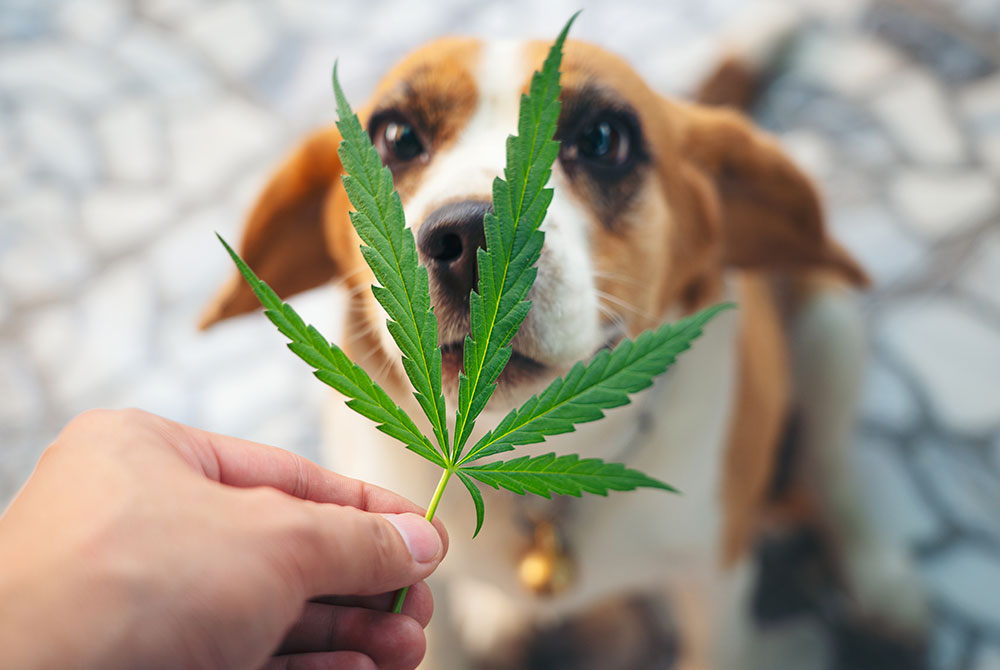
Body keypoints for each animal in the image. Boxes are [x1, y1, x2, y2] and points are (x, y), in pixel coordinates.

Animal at [203, 32, 928, 670]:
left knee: (829, 461)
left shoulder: (713, 586)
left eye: (604, 139)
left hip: (831, 332)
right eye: (396, 137)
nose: (468, 239)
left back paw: (876, 578)